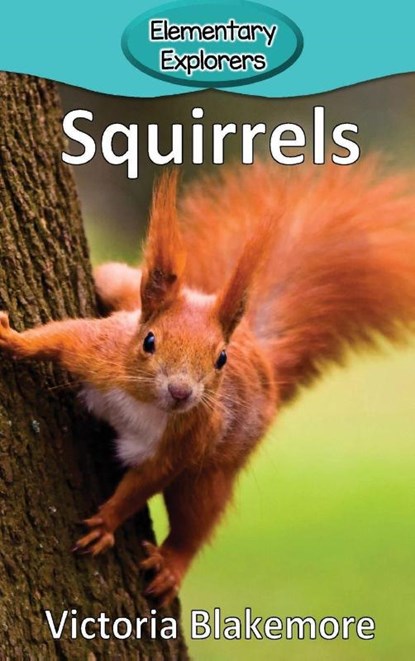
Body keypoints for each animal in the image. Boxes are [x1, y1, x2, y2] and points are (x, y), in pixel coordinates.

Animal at [1, 159, 415, 606]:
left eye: (221, 360)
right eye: (149, 341)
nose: (181, 392)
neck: (145, 403)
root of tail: (261, 355)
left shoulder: (185, 442)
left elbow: (143, 484)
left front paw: (107, 522)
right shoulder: (100, 353)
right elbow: (59, 338)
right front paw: (14, 340)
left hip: (214, 470)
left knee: (196, 518)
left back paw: (172, 565)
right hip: (123, 289)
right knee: (115, 279)